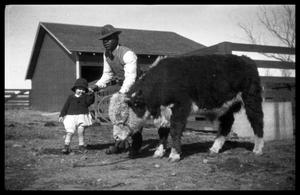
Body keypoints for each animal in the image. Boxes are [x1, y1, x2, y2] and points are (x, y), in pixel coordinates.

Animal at [109, 54, 264, 161]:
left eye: (124, 117)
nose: (115, 137)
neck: (163, 80)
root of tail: (246, 59)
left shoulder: (180, 108)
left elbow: (175, 130)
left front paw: (174, 154)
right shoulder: (163, 113)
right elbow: (162, 132)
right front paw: (159, 152)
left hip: (252, 99)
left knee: (257, 121)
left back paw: (257, 148)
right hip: (226, 106)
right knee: (227, 124)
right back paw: (214, 148)